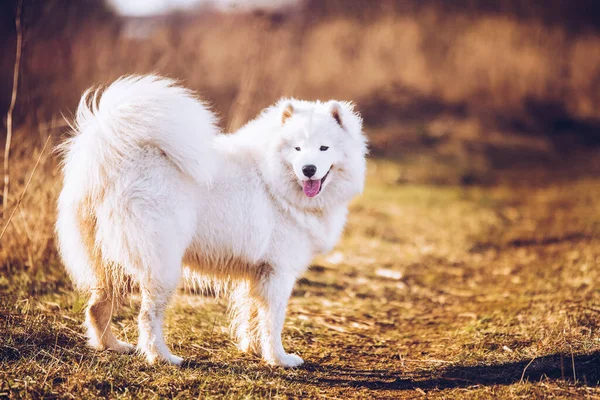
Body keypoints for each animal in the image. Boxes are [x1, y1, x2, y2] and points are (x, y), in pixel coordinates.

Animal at [56, 73, 368, 368]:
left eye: (324, 148)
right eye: (298, 149)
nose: (309, 169)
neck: (274, 182)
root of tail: (113, 160)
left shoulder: (257, 273)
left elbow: (252, 315)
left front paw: (254, 350)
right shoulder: (278, 272)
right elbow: (273, 322)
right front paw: (279, 359)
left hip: (110, 263)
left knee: (97, 307)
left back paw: (112, 346)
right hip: (162, 266)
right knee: (147, 317)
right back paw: (162, 357)